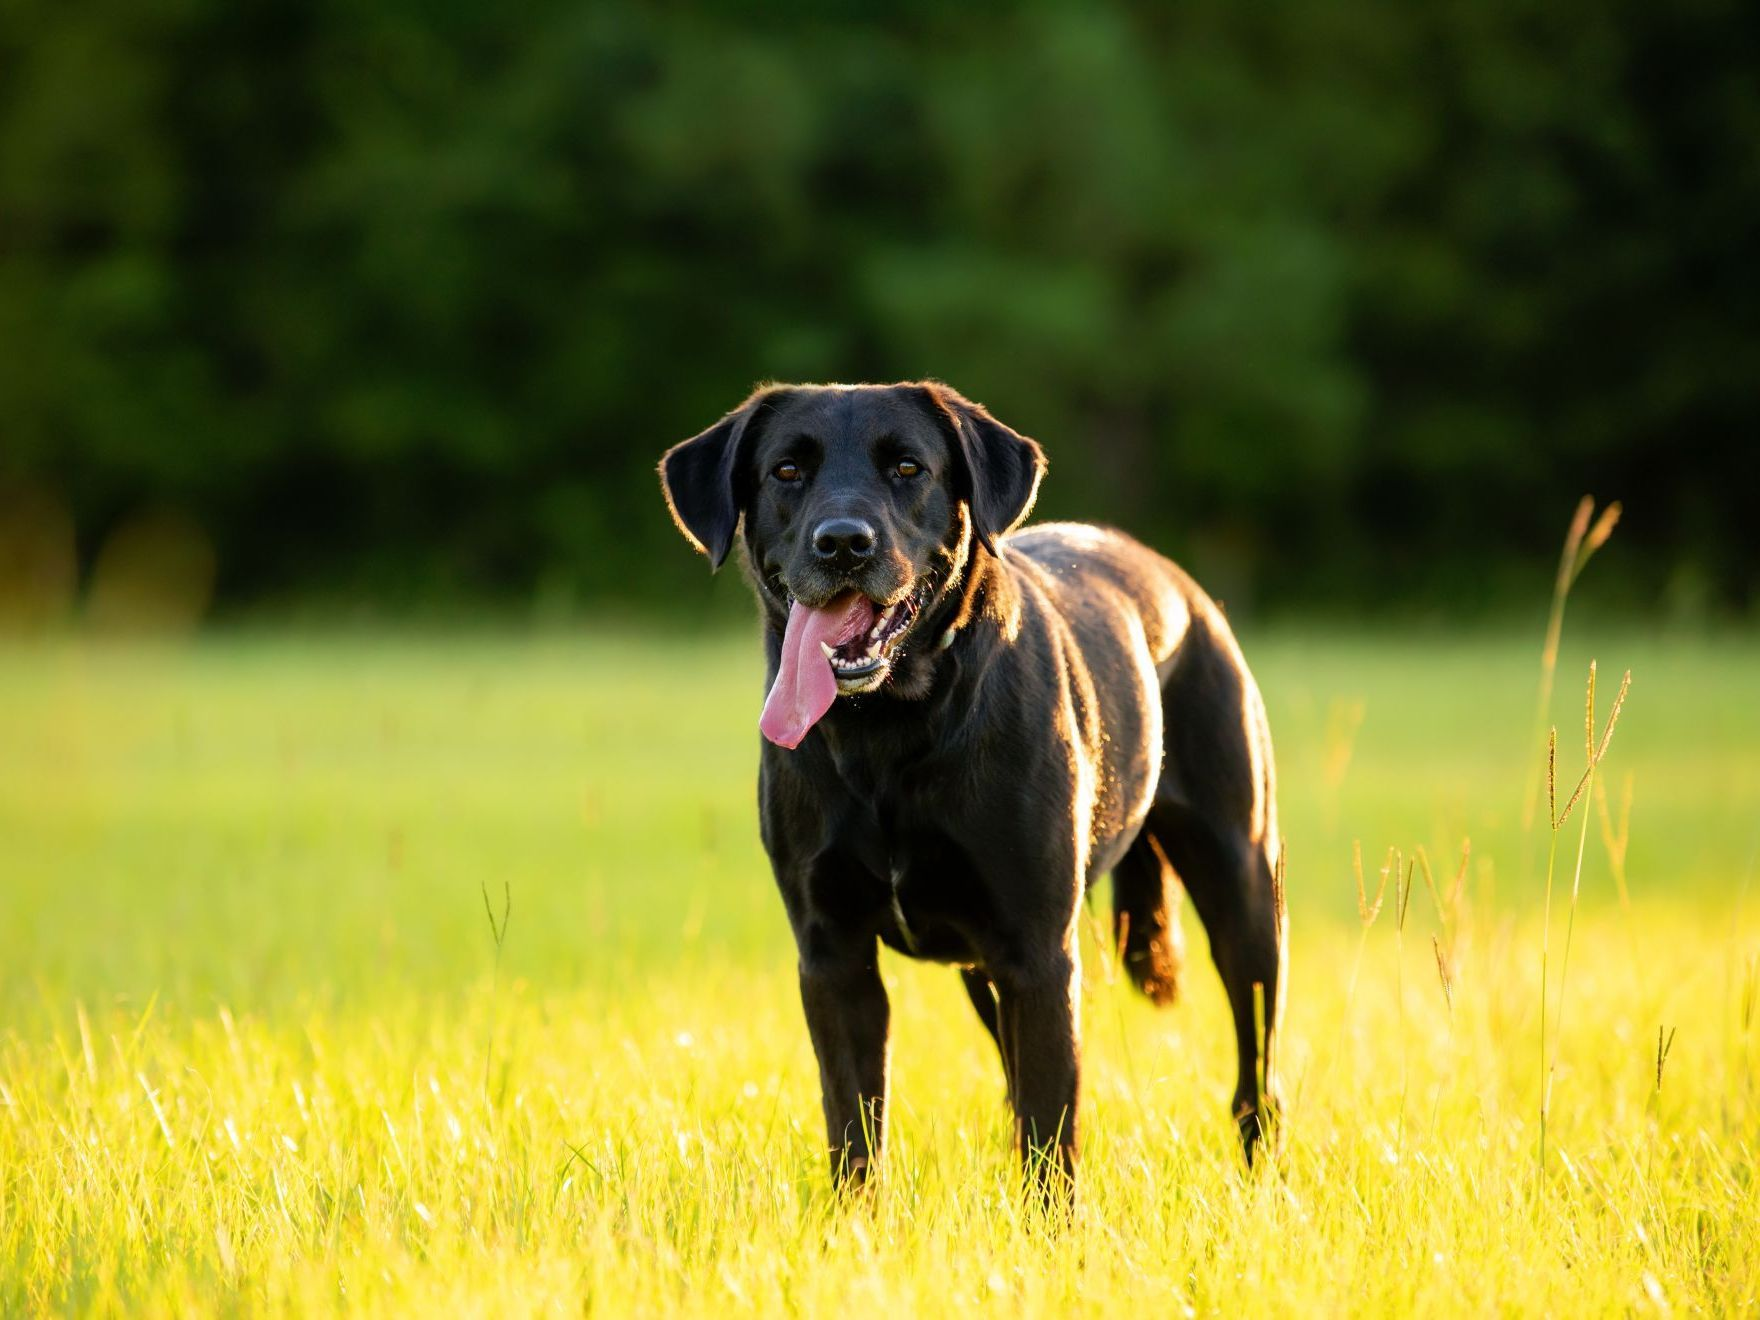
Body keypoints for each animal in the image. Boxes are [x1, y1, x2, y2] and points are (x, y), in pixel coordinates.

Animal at [658, 380, 1281, 1196]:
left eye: (908, 468)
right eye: (787, 471)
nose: (844, 542)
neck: (885, 731)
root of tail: (1177, 580)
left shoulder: (1038, 951)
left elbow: (1052, 1132)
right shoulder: (833, 957)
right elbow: (854, 1128)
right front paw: (854, 1224)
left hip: (1242, 882)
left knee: (1255, 1068)